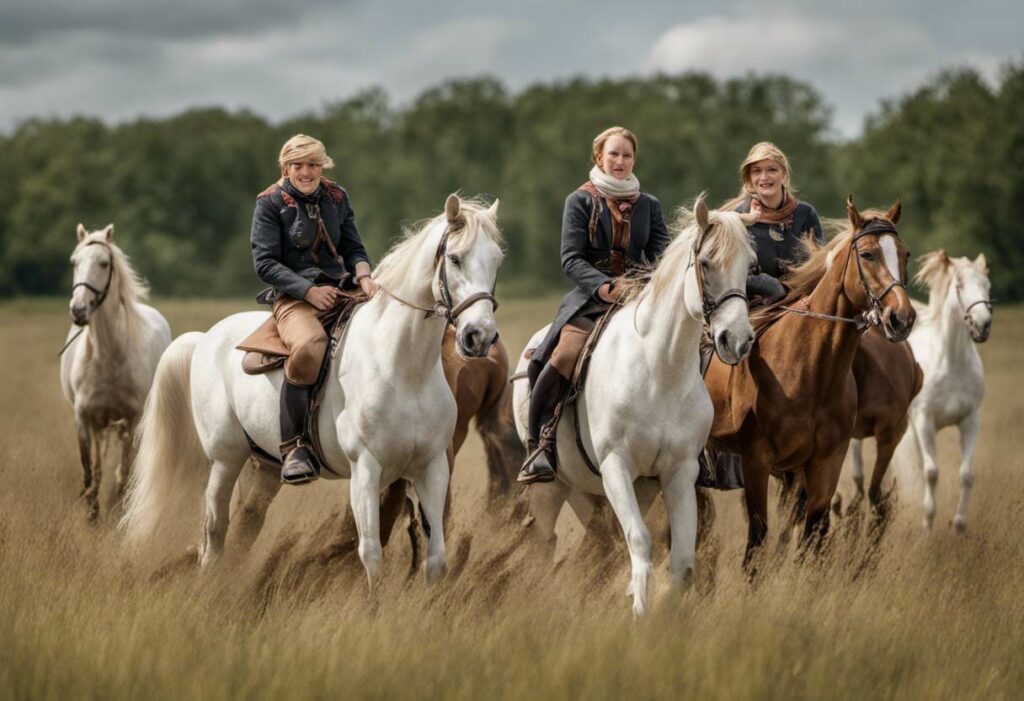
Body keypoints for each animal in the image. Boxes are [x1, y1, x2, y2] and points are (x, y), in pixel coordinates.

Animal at [59, 224, 172, 519]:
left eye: (104, 263)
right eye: (74, 262)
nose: (78, 310)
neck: (108, 357)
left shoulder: (132, 419)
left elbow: (126, 468)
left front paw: (117, 509)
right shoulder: (85, 417)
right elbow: (90, 467)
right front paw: (92, 513)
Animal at [124, 196, 503, 585]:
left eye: (497, 259)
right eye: (455, 258)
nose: (479, 336)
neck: (404, 368)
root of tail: (205, 338)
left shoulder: (432, 467)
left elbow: (436, 558)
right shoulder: (366, 468)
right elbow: (371, 555)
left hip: (266, 467)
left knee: (244, 527)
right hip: (225, 460)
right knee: (214, 532)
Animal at [509, 198, 753, 614]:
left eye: (751, 265)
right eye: (706, 262)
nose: (737, 340)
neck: (660, 370)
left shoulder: (678, 473)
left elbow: (682, 559)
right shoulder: (616, 467)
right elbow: (639, 540)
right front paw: (639, 610)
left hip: (602, 490)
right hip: (551, 488)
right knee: (546, 541)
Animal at [708, 196, 917, 568]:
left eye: (904, 254)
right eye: (867, 254)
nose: (901, 318)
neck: (811, 369)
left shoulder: (825, 463)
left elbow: (813, 534)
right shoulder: (756, 459)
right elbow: (758, 536)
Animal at [897, 249, 991, 532]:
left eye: (986, 284)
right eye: (959, 286)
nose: (982, 325)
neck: (951, 364)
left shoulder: (970, 420)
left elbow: (967, 474)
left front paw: (959, 525)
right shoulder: (924, 421)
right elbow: (931, 472)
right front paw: (927, 523)